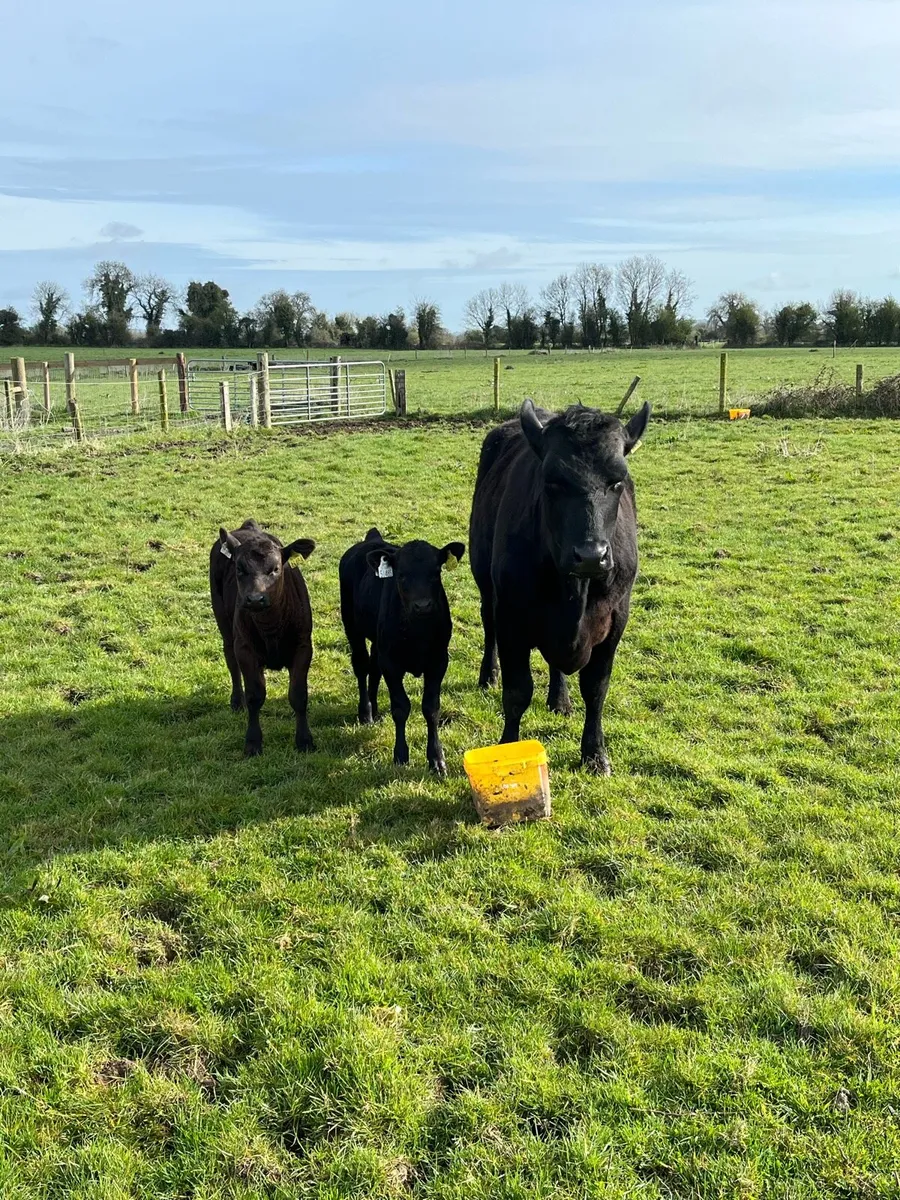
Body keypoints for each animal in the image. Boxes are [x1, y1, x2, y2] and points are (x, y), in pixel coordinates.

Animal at [209, 519, 316, 757]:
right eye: (240, 569)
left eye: (275, 569)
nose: (255, 599)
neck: (271, 627)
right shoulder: (245, 648)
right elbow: (255, 696)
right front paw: (253, 742)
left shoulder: (303, 647)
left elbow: (298, 695)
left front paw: (305, 741)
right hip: (224, 622)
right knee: (231, 660)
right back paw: (236, 701)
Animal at [339, 527, 466, 776]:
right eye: (402, 575)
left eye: (435, 573)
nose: (423, 605)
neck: (418, 632)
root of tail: (373, 539)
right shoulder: (392, 664)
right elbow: (400, 707)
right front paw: (400, 755)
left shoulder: (438, 661)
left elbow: (431, 708)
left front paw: (437, 759)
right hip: (351, 625)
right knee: (361, 665)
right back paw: (366, 712)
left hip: (378, 642)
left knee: (373, 668)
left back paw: (375, 710)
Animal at [468, 398, 651, 774]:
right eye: (552, 481)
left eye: (618, 480)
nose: (591, 555)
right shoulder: (510, 616)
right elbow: (517, 691)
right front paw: (509, 748)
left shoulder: (616, 619)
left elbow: (596, 689)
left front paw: (595, 754)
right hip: (484, 582)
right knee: (488, 628)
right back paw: (488, 675)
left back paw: (560, 698)